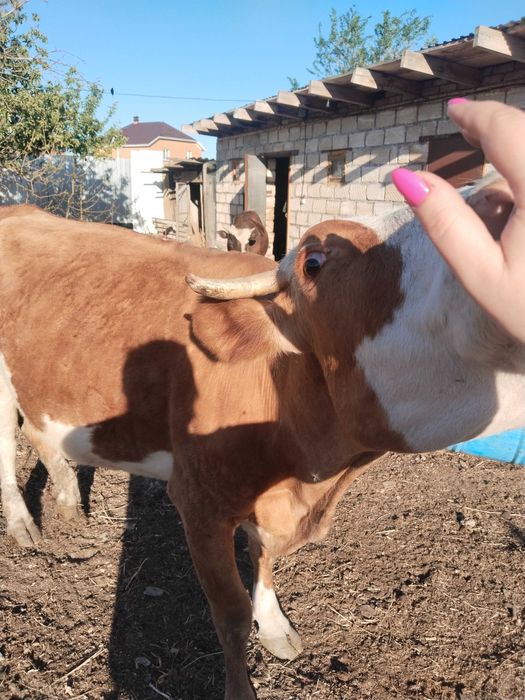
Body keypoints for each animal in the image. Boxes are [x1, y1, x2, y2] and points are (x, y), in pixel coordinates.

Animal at [0, 174, 524, 700]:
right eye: (313, 262)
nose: (499, 199)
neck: (311, 478)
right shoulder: (200, 503)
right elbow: (231, 614)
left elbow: (265, 558)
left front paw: (274, 627)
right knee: (7, 445)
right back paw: (23, 525)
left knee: (40, 432)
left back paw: (70, 503)